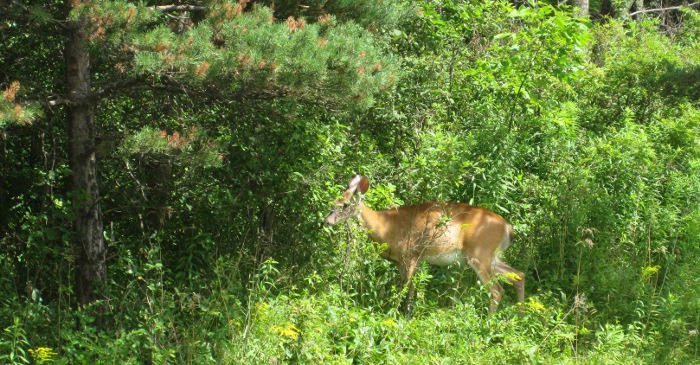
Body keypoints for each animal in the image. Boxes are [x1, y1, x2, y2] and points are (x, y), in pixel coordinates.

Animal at [326, 175, 524, 312]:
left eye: (345, 205)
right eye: (334, 201)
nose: (327, 221)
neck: (386, 226)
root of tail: (507, 228)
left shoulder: (411, 255)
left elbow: (408, 289)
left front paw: (401, 314)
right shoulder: (401, 261)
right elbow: (406, 288)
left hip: (480, 253)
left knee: (497, 290)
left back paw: (489, 323)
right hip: (491, 257)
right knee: (519, 275)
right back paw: (520, 317)